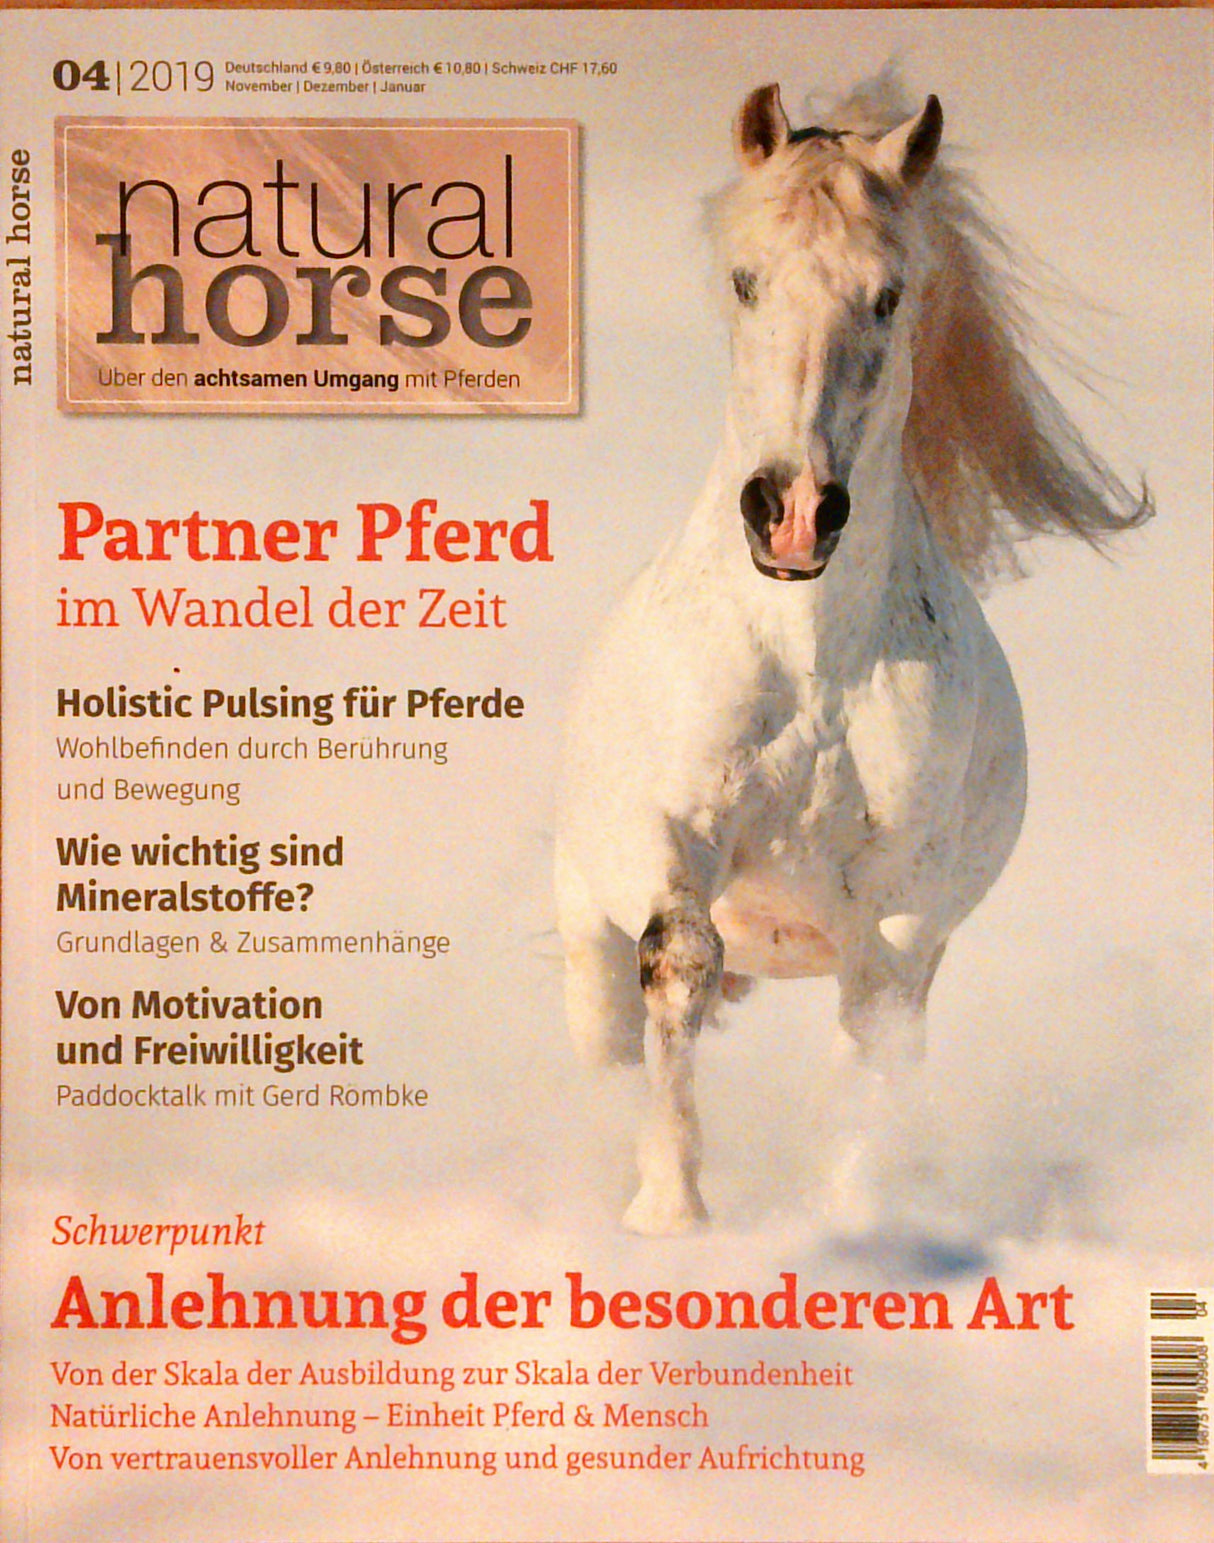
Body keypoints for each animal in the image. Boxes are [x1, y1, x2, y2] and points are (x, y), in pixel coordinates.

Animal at [555, 80, 1150, 1236]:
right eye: (744, 280)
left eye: (887, 295)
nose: (792, 510)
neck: (814, 664)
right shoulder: (672, 833)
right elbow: (681, 962)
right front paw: (669, 1207)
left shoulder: (903, 905)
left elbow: (871, 1041)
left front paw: (851, 1218)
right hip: (581, 917)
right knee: (606, 1033)